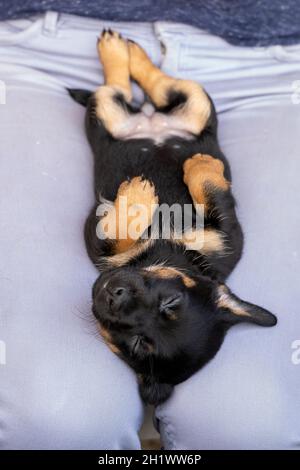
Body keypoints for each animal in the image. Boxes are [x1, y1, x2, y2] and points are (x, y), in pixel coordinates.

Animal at [69, 30, 278, 404]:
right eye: (171, 301)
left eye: (138, 342)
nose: (114, 295)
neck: (163, 251)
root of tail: (152, 122)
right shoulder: (228, 233)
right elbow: (213, 189)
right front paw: (196, 167)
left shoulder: (98, 238)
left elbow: (116, 229)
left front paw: (140, 194)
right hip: (190, 103)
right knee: (152, 85)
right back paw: (121, 47)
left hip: (120, 112)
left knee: (127, 89)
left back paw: (121, 51)